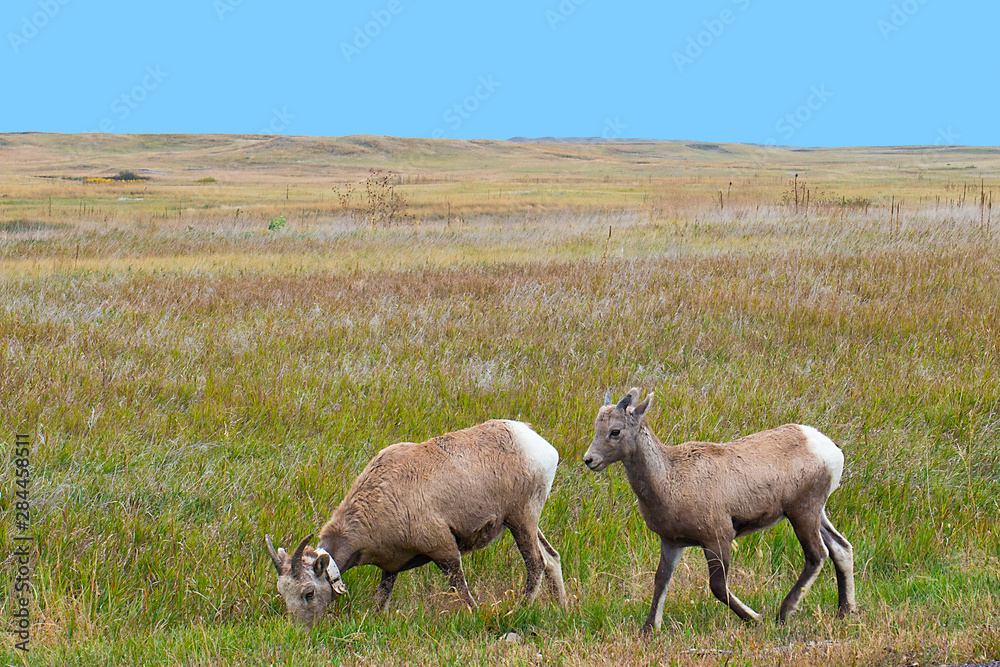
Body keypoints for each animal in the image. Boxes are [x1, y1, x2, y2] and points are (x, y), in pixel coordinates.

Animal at [266, 419, 567, 626]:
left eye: (308, 593)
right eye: (283, 593)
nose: (302, 631)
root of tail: (542, 447)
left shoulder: (443, 548)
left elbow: (461, 590)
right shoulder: (390, 568)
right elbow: (381, 600)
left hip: (522, 519)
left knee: (536, 564)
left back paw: (520, 609)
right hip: (527, 523)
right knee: (551, 558)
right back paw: (561, 608)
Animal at [583, 388, 856, 632]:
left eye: (615, 431)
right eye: (597, 428)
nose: (589, 460)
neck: (669, 479)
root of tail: (830, 449)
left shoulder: (717, 539)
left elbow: (717, 587)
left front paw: (755, 619)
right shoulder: (671, 543)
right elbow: (661, 580)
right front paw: (649, 629)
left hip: (803, 512)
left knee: (817, 554)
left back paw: (784, 614)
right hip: (817, 513)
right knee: (841, 548)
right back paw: (845, 611)